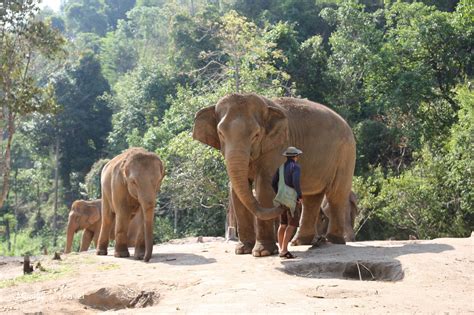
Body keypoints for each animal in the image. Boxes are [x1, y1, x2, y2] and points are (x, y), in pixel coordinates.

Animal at [193, 93, 356, 256]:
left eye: (256, 135)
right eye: (220, 133)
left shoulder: (277, 148)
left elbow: (264, 187)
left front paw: (262, 252)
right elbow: (236, 192)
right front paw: (242, 250)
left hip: (346, 154)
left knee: (336, 195)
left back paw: (333, 240)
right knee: (312, 198)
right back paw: (300, 242)